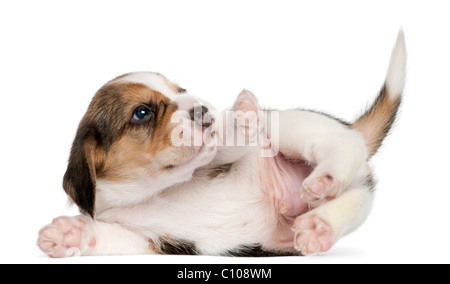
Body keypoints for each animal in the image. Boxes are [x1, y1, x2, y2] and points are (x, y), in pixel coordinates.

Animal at [37, 31, 406, 258]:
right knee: (357, 201)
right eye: (142, 113)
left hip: (292, 128)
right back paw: (320, 226)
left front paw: (238, 119)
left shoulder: (217, 157)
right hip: (345, 196)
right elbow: (104, 236)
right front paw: (68, 235)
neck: (154, 191)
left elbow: (228, 144)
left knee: (342, 149)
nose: (203, 110)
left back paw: (324, 177)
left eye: (181, 91)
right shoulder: (146, 242)